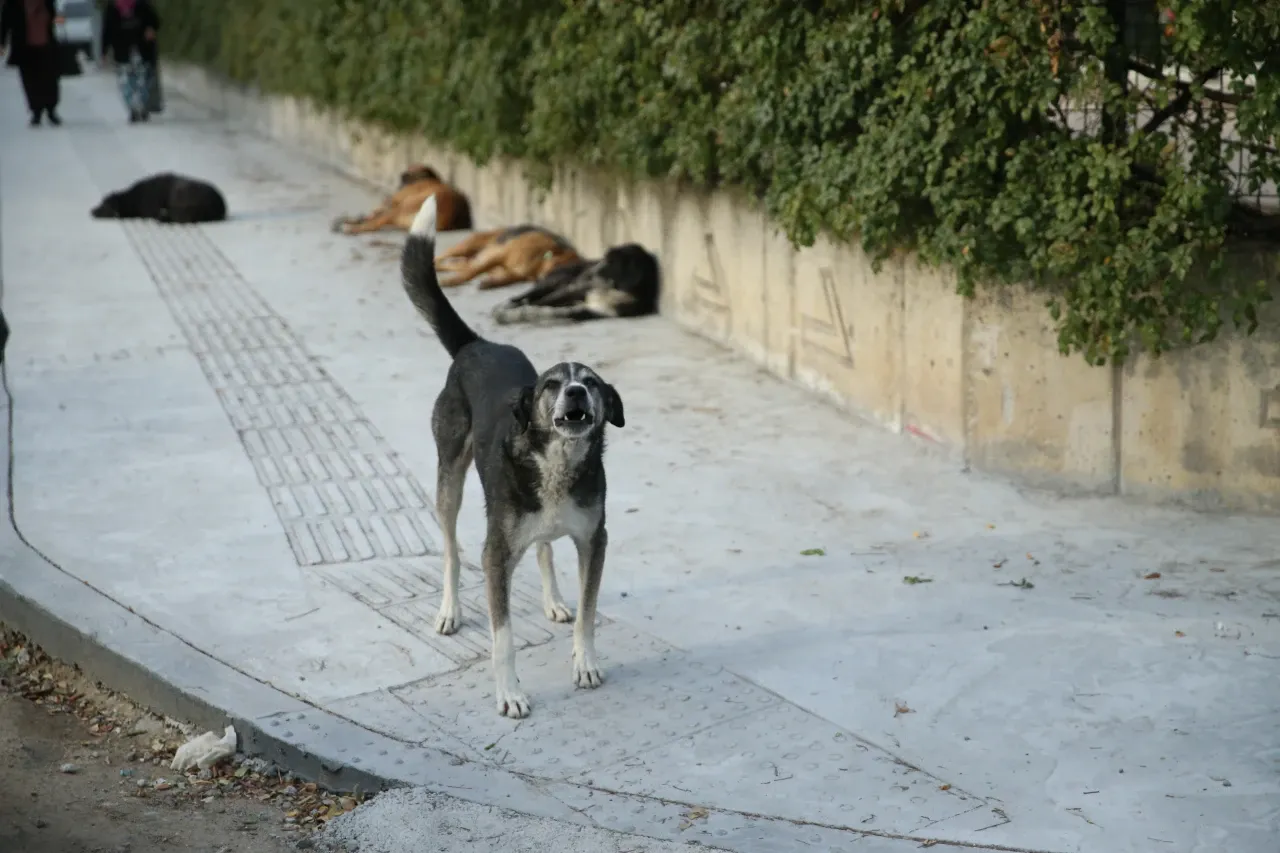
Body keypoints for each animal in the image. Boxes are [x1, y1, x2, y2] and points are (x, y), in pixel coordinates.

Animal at [435, 222, 586, 289]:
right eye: (562, 269)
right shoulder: (499, 255)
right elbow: (472, 273)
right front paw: (452, 281)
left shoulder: (515, 273)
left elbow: (507, 278)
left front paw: (490, 282)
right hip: (466, 247)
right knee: (441, 258)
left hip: (467, 260)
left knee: (454, 265)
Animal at [491, 244, 665, 326]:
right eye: (605, 259)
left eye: (611, 262)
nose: (587, 274)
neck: (612, 290)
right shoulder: (572, 291)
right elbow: (542, 303)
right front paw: (524, 311)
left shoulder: (598, 311)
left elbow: (570, 312)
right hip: (554, 283)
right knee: (528, 296)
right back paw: (512, 304)